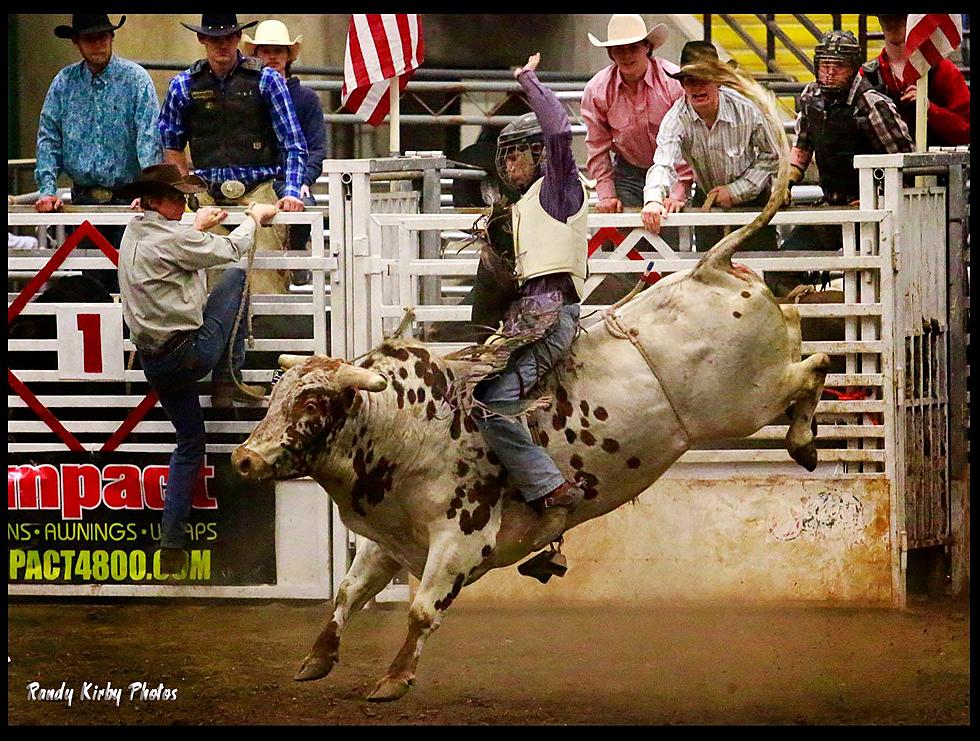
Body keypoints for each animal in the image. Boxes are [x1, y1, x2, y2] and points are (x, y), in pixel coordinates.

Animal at [234, 62, 832, 700]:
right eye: (273, 400)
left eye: (313, 402)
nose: (244, 458)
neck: (405, 424)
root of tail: (705, 268)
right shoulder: (386, 540)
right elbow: (348, 593)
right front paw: (317, 658)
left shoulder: (461, 540)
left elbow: (421, 610)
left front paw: (393, 679)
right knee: (801, 334)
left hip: (744, 402)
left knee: (813, 367)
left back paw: (803, 443)